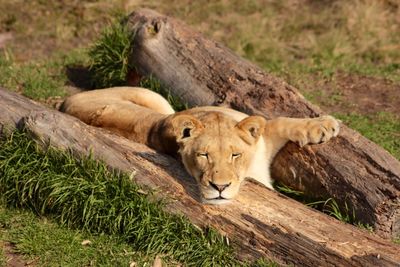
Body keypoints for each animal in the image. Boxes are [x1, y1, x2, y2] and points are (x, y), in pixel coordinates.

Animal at [61, 88, 340, 205]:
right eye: (203, 155)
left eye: (235, 155)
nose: (220, 188)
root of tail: (62, 102)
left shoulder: (259, 139)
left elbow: (280, 122)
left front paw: (324, 125)